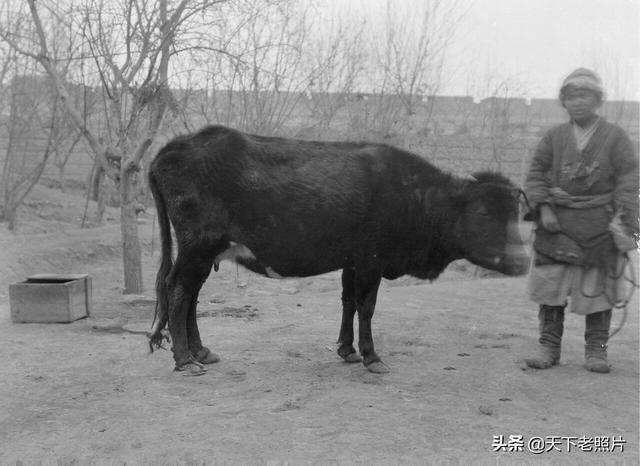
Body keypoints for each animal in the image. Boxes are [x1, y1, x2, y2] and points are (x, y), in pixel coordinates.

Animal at [148, 125, 528, 376]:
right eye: (483, 213)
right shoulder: (372, 260)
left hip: (203, 251)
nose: (523, 260)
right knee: (178, 291)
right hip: (198, 246)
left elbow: (348, 301)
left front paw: (347, 349)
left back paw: (201, 351)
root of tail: (178, 144)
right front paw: (372, 356)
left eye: (516, 213)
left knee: (190, 296)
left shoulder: (352, 261)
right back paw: (185, 359)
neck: (416, 198)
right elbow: (366, 306)